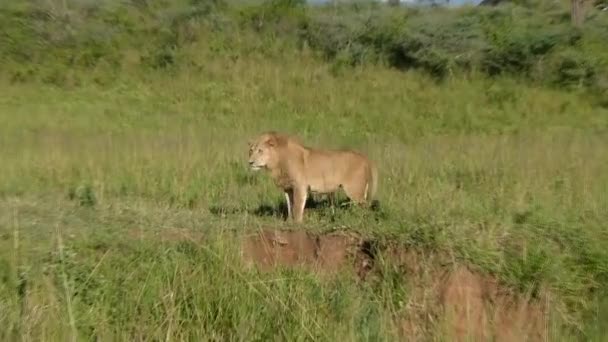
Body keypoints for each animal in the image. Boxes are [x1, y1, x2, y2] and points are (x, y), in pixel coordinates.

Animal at [247, 130, 376, 222]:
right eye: (251, 150)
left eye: (260, 151)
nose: (250, 162)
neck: (278, 162)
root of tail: (365, 158)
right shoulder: (288, 188)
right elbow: (290, 206)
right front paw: (289, 222)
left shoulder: (300, 186)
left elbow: (297, 207)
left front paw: (297, 224)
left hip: (354, 191)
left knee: (366, 207)